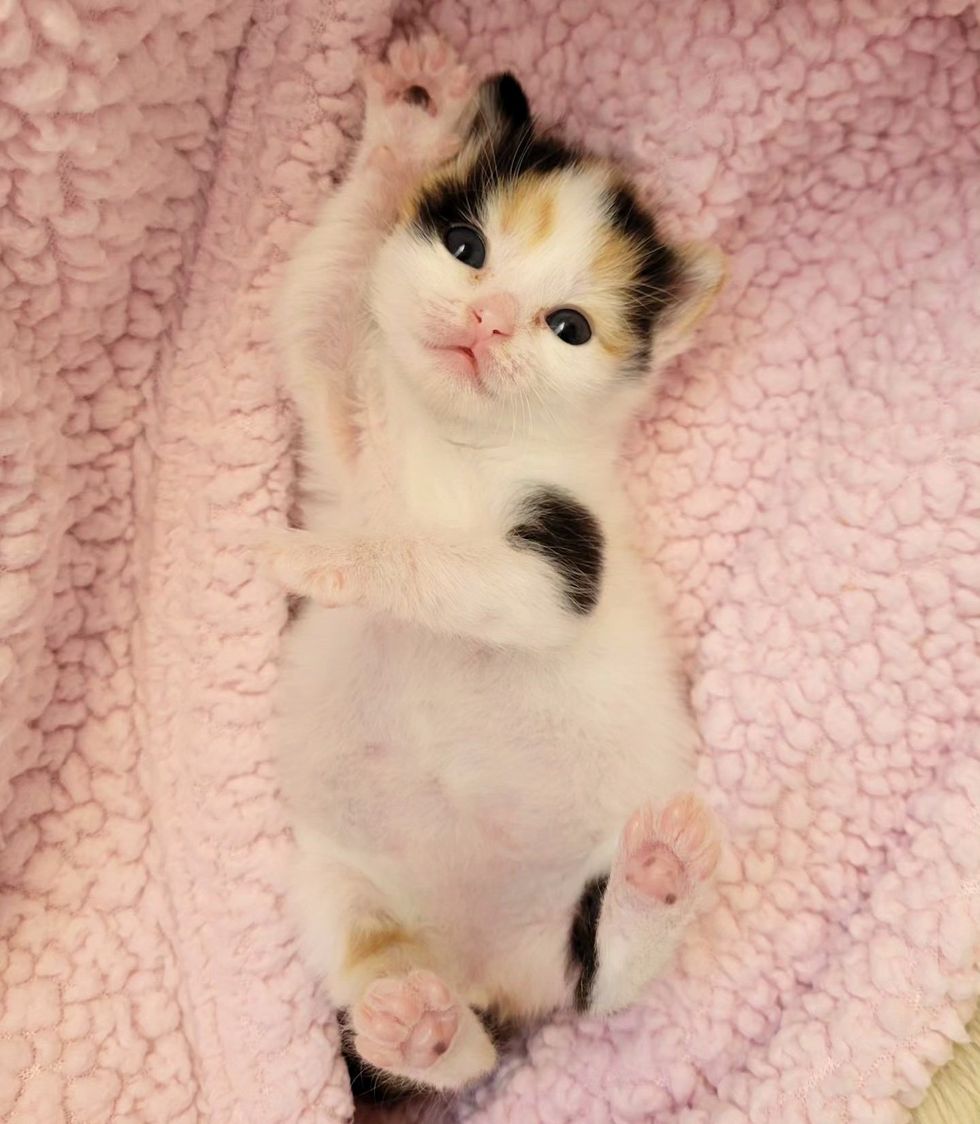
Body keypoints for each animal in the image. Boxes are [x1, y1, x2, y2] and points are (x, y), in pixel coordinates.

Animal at [264, 32, 723, 1097]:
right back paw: (413, 1028)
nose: (492, 320)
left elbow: (459, 571)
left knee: (603, 984)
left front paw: (333, 562)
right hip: (332, 881)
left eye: (569, 327)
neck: (453, 441)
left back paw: (657, 878)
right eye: (467, 249)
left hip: (577, 911)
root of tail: (488, 974)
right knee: (449, 1044)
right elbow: (315, 303)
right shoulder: (345, 425)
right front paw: (408, 128)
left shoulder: (560, 561)